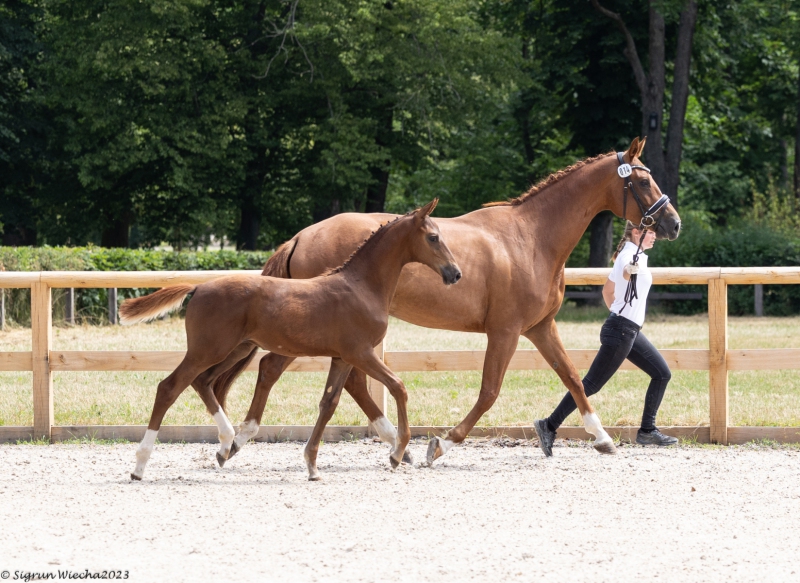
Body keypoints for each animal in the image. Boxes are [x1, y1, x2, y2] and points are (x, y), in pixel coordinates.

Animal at [123, 198, 462, 482]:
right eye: (433, 237)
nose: (455, 273)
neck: (362, 286)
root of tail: (198, 287)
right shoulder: (360, 353)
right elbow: (398, 387)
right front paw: (396, 453)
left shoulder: (342, 357)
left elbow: (329, 403)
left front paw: (312, 466)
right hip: (208, 349)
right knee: (169, 387)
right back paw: (140, 465)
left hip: (234, 349)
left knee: (203, 382)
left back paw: (226, 443)